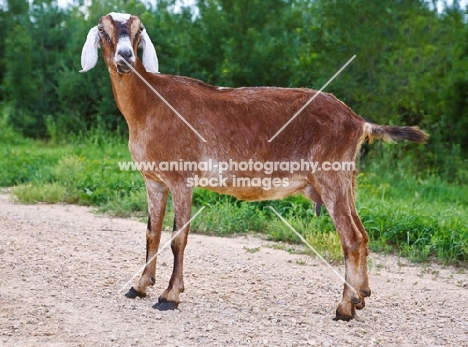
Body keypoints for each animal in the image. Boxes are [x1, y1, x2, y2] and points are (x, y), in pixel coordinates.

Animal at [79, 13, 428, 324]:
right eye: (104, 30)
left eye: (138, 31)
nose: (125, 57)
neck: (151, 104)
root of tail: (358, 121)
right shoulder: (153, 179)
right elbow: (152, 232)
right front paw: (139, 287)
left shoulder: (182, 178)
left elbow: (179, 236)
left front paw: (170, 296)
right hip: (346, 178)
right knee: (364, 234)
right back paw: (361, 296)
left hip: (330, 175)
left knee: (352, 238)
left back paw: (344, 308)